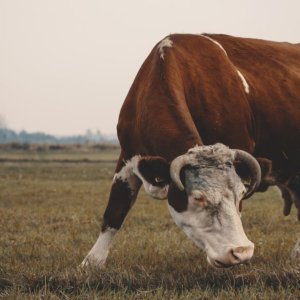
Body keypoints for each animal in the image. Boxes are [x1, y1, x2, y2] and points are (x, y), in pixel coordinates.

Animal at [81, 34, 300, 268]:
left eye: (242, 193)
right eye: (198, 198)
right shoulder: (127, 155)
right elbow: (116, 208)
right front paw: (92, 262)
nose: (241, 252)